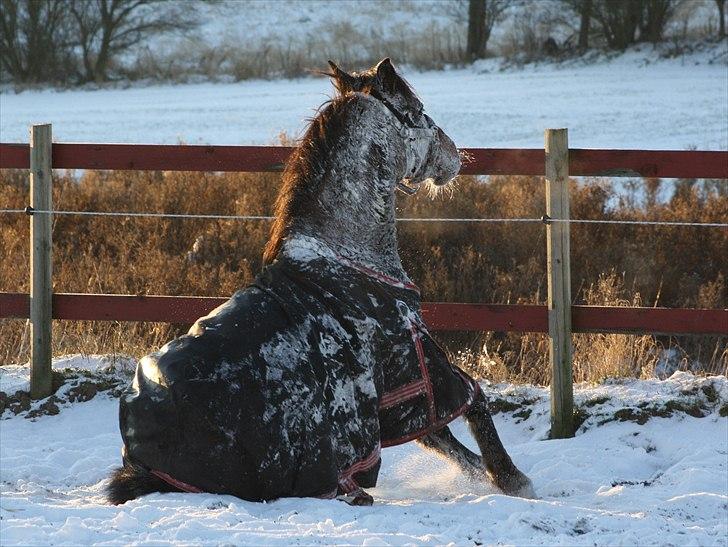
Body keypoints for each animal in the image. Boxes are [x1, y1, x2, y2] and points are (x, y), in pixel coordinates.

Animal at [105, 58, 532, 506]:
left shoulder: (396, 399)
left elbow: (444, 441)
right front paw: (514, 480)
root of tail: (138, 456)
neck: (348, 253)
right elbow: (473, 403)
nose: (456, 155)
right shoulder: (418, 367)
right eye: (417, 111)